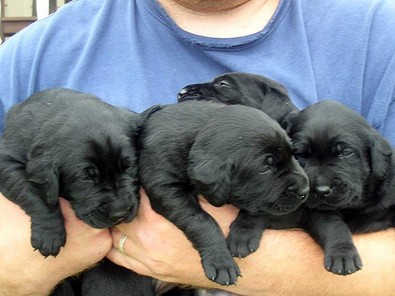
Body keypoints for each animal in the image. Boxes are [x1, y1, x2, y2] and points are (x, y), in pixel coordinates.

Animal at [0, 88, 148, 256]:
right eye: (86, 178)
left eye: (129, 166)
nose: (120, 213)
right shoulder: (6, 162)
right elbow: (34, 193)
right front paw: (49, 233)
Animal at [138, 100, 310, 286]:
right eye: (265, 167)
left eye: (293, 155)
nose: (305, 190)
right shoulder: (165, 187)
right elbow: (201, 221)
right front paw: (220, 261)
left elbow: (257, 209)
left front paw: (243, 235)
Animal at [288, 101, 395, 276]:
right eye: (300, 155)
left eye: (346, 152)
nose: (321, 190)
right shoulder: (314, 211)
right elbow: (332, 225)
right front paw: (342, 254)